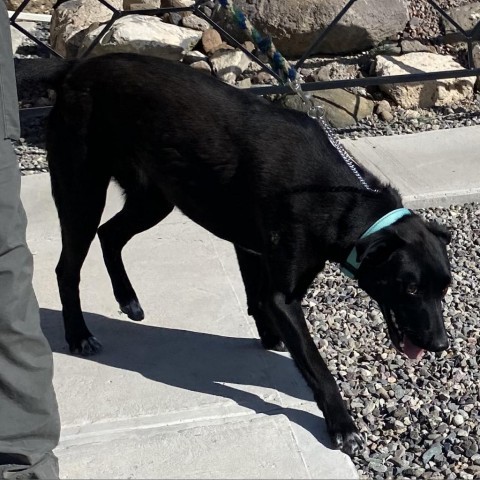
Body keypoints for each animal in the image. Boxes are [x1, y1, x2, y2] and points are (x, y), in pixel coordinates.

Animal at [14, 52, 450, 454]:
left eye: (444, 289)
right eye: (410, 289)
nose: (441, 345)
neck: (339, 198)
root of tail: (74, 70)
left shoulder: (251, 248)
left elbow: (257, 298)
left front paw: (270, 339)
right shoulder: (282, 290)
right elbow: (314, 361)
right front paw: (342, 425)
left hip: (154, 197)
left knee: (110, 235)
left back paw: (128, 298)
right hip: (82, 191)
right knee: (68, 266)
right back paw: (78, 335)